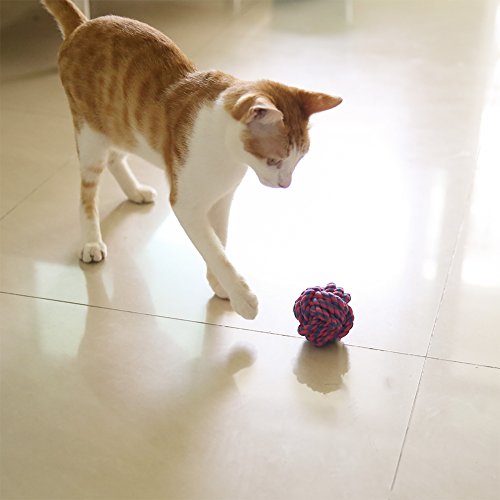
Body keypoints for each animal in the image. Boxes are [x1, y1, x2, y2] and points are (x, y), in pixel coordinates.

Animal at [43, 0, 342, 320]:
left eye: (299, 159)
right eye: (274, 160)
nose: (286, 184)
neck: (228, 157)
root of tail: (83, 24)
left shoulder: (223, 198)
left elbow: (219, 240)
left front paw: (219, 284)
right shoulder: (186, 204)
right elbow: (214, 249)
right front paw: (242, 297)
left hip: (122, 127)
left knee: (115, 157)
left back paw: (135, 191)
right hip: (90, 135)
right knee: (88, 191)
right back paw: (91, 241)